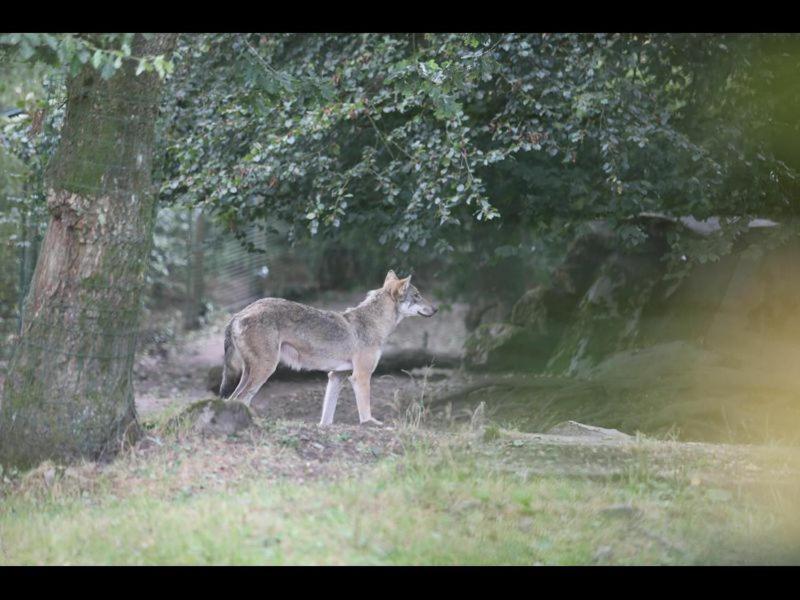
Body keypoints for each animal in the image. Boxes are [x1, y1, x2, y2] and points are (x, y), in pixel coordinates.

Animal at [219, 270, 438, 424]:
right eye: (417, 295)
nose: (436, 309)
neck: (373, 324)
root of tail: (238, 314)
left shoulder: (335, 376)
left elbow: (326, 418)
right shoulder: (360, 376)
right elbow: (365, 412)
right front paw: (371, 423)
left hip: (251, 372)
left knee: (233, 399)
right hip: (265, 370)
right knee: (240, 398)